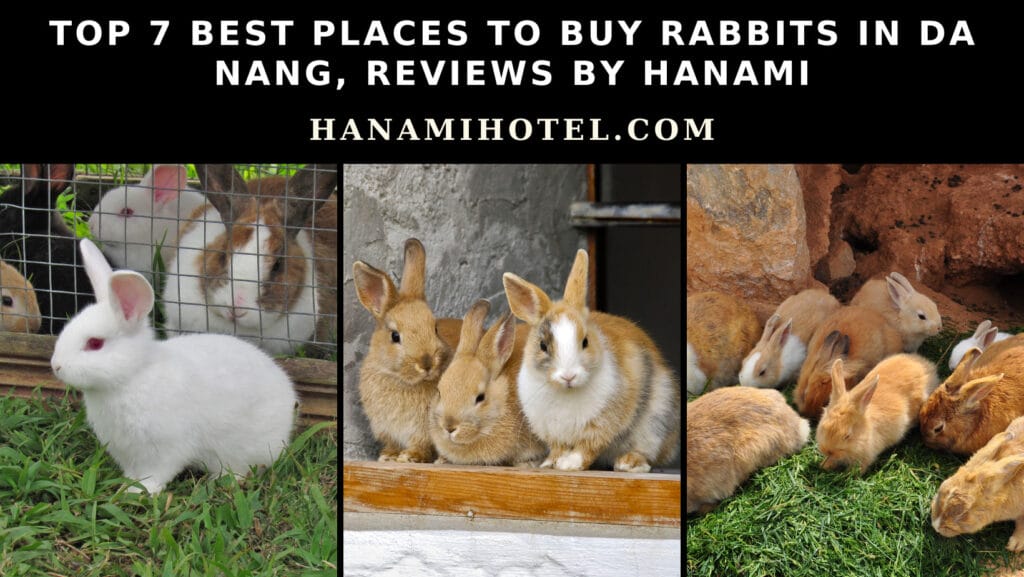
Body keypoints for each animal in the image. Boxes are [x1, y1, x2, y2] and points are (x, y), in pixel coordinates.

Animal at [50, 238, 296, 494]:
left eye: (95, 343)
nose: (56, 366)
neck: (133, 376)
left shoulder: (165, 448)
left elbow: (157, 473)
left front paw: (140, 491)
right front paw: (127, 484)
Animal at [354, 238, 462, 463]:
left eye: (435, 328)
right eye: (395, 336)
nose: (427, 363)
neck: (402, 381)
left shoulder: (423, 430)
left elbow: (421, 444)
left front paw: (409, 457)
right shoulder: (386, 427)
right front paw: (388, 456)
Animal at [503, 249, 681, 473]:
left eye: (585, 341)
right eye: (543, 346)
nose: (568, 376)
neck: (566, 392)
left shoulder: (601, 425)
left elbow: (587, 447)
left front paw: (569, 465)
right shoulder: (552, 431)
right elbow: (558, 448)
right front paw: (550, 464)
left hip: (656, 424)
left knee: (648, 454)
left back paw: (628, 463)